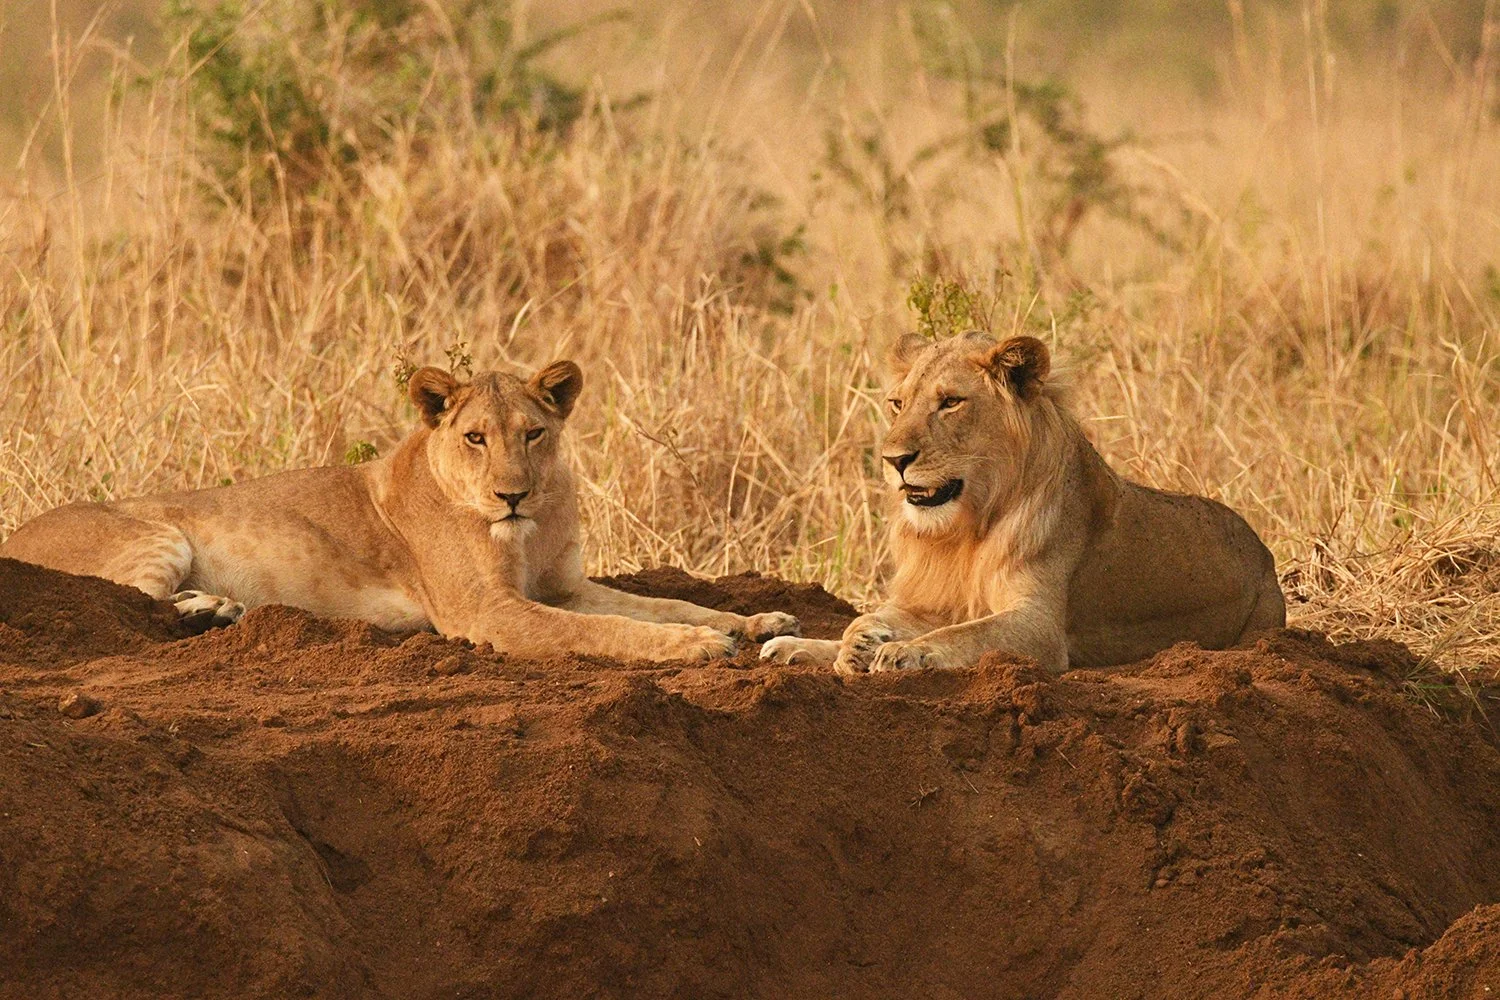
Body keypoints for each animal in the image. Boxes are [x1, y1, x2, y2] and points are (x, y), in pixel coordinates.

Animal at [1, 360, 799, 662]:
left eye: (533, 434)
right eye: (475, 438)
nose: (511, 494)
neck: (533, 525)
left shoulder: (564, 584)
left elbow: (664, 604)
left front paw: (756, 623)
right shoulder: (485, 611)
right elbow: (603, 631)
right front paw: (698, 649)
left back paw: (217, 610)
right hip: (158, 533)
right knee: (123, 599)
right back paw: (210, 609)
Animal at [761, 331, 1284, 674]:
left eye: (950, 402)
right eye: (897, 403)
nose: (893, 460)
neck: (964, 530)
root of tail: (1263, 550)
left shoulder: (1039, 626)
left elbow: (965, 634)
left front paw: (904, 653)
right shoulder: (933, 600)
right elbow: (869, 616)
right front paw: (853, 643)